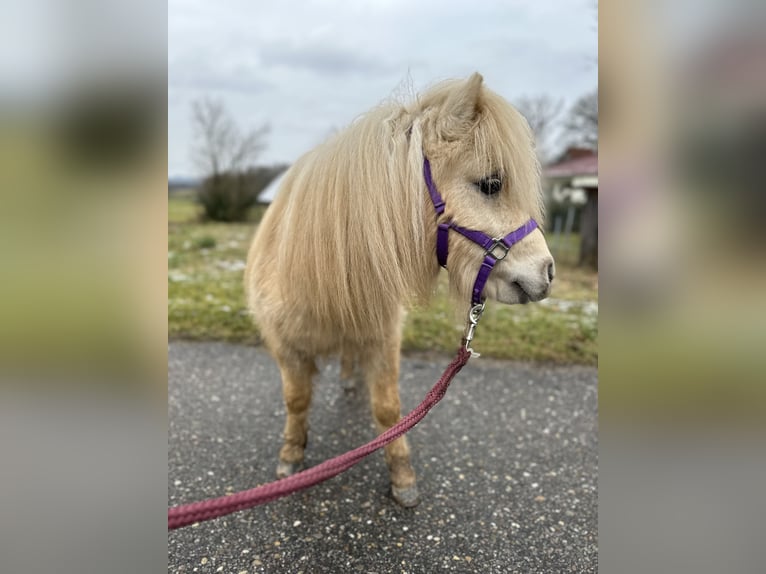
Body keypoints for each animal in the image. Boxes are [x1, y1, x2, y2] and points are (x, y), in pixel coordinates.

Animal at [249, 73, 556, 508]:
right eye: (491, 184)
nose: (547, 272)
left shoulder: (382, 339)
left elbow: (388, 410)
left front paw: (401, 476)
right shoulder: (285, 346)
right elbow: (296, 401)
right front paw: (291, 455)